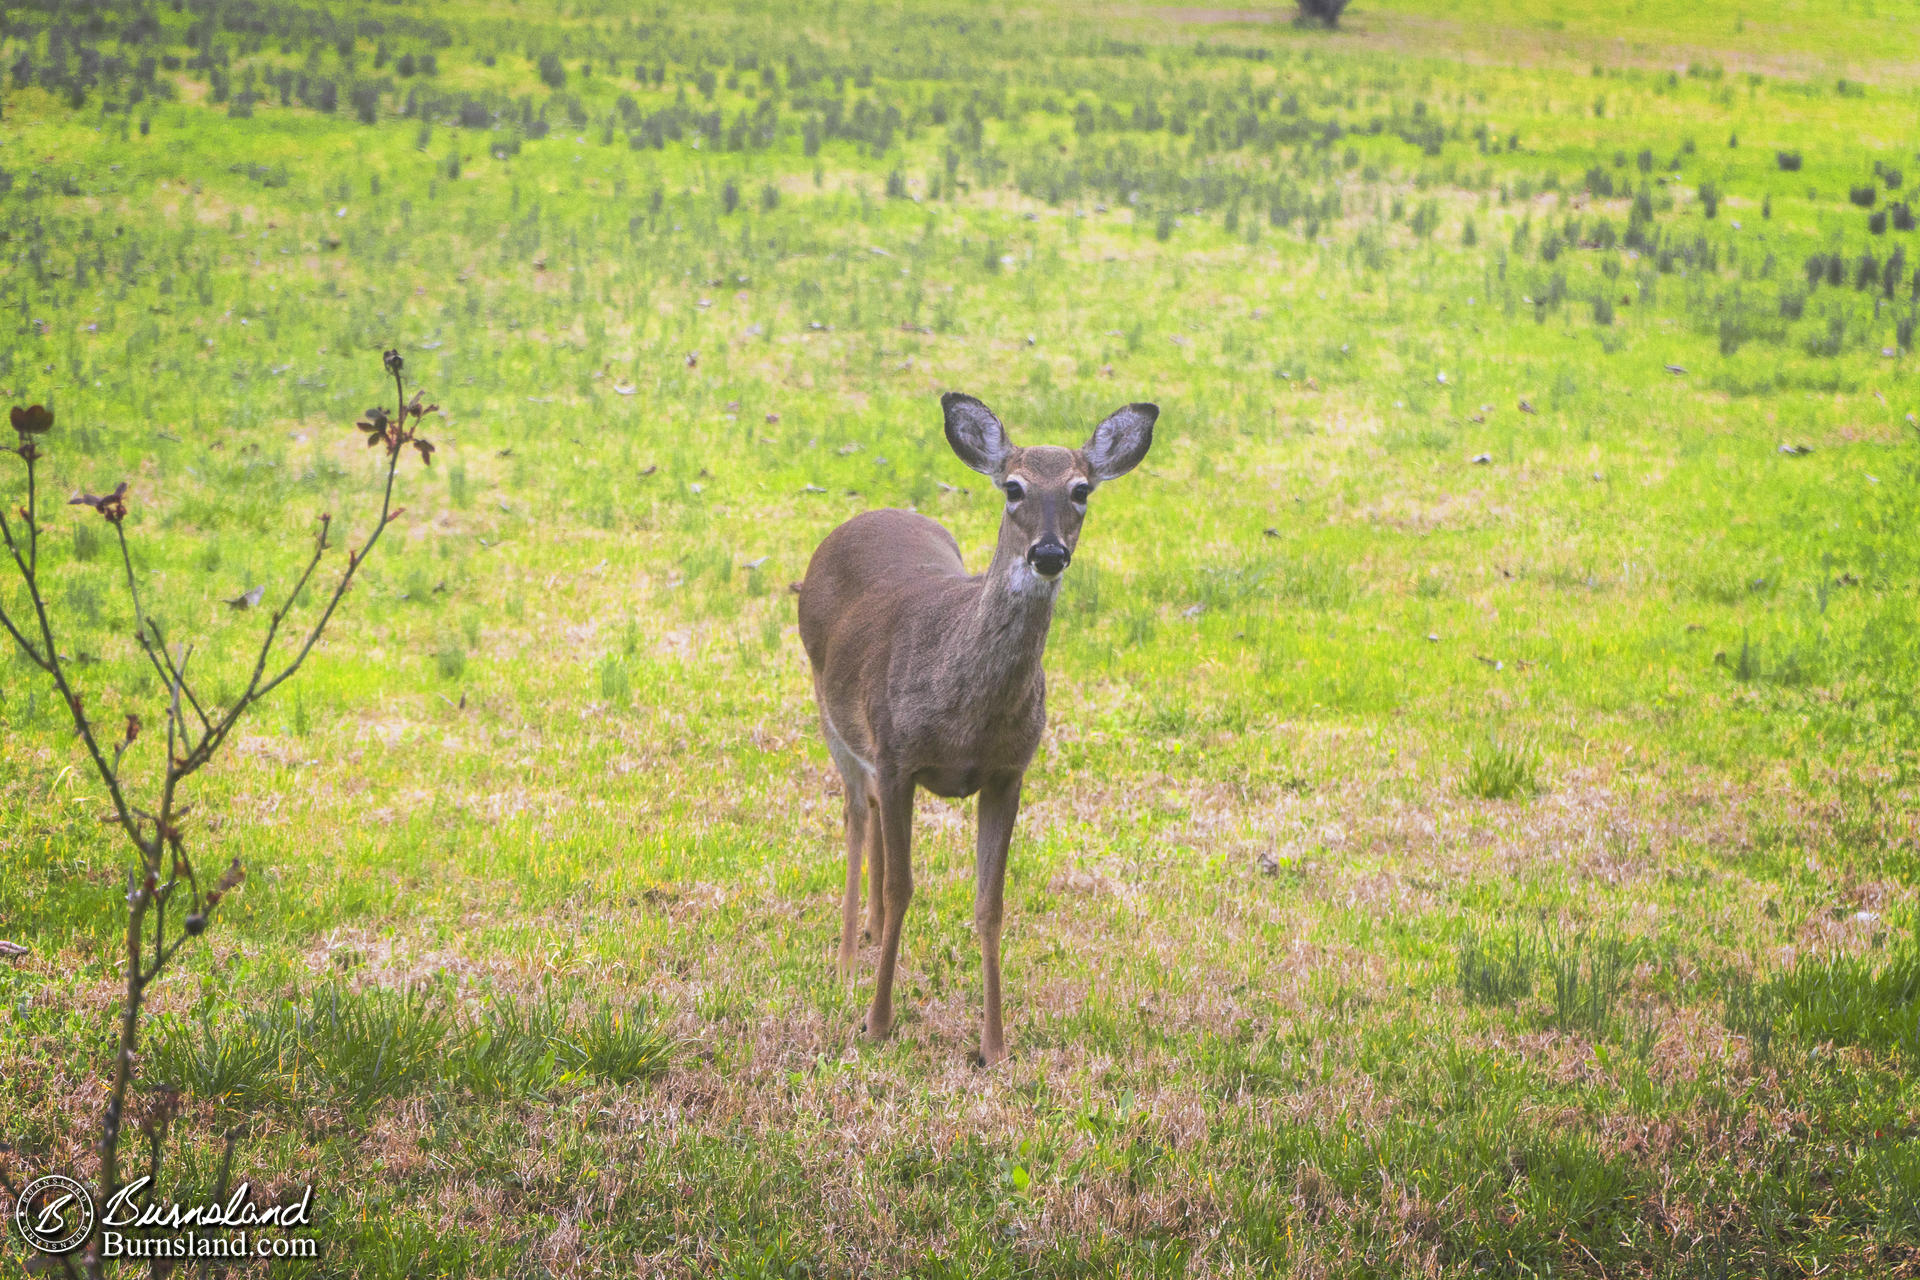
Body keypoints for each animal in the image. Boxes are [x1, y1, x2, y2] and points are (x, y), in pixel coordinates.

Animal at [794, 395, 1152, 1066]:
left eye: (1082, 490)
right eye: (1013, 487)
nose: (1048, 553)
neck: (965, 716)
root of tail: (867, 516)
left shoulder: (1009, 772)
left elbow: (991, 904)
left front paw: (995, 1045)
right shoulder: (899, 755)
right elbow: (904, 887)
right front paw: (877, 1024)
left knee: (868, 809)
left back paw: (869, 935)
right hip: (831, 710)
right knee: (854, 813)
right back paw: (848, 957)